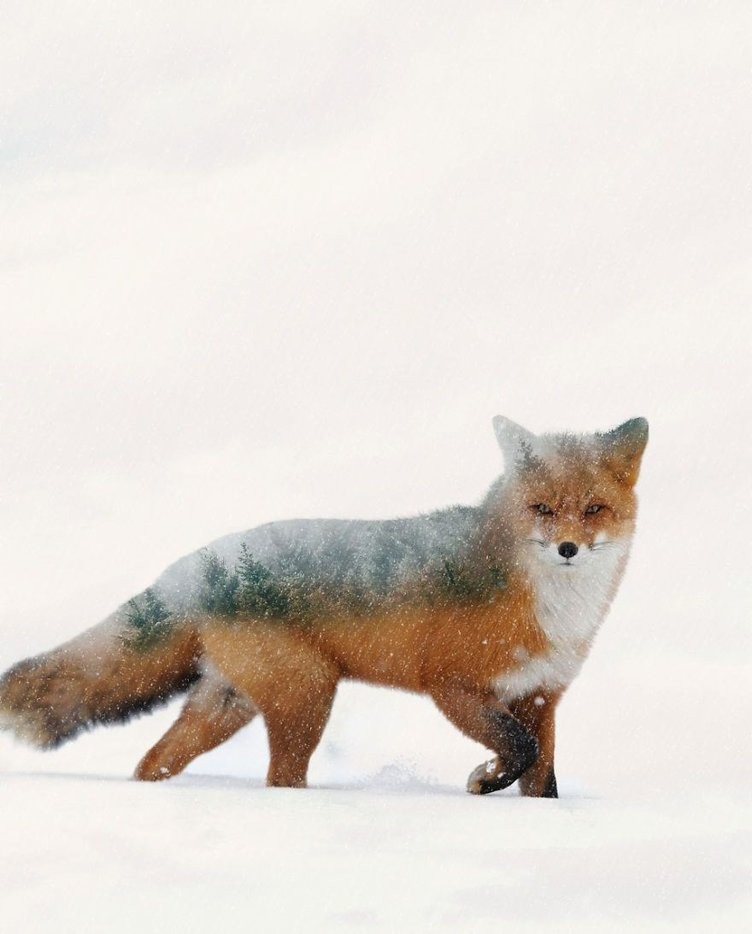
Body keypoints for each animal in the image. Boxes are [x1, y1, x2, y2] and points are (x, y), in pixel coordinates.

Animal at [0, 416, 648, 796]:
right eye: (543, 509)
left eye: (593, 509)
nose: (568, 549)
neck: (555, 612)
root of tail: (199, 563)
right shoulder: (452, 685)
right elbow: (517, 749)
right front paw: (483, 782)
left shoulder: (541, 696)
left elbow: (541, 775)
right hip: (308, 696)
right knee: (279, 780)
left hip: (229, 705)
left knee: (152, 762)